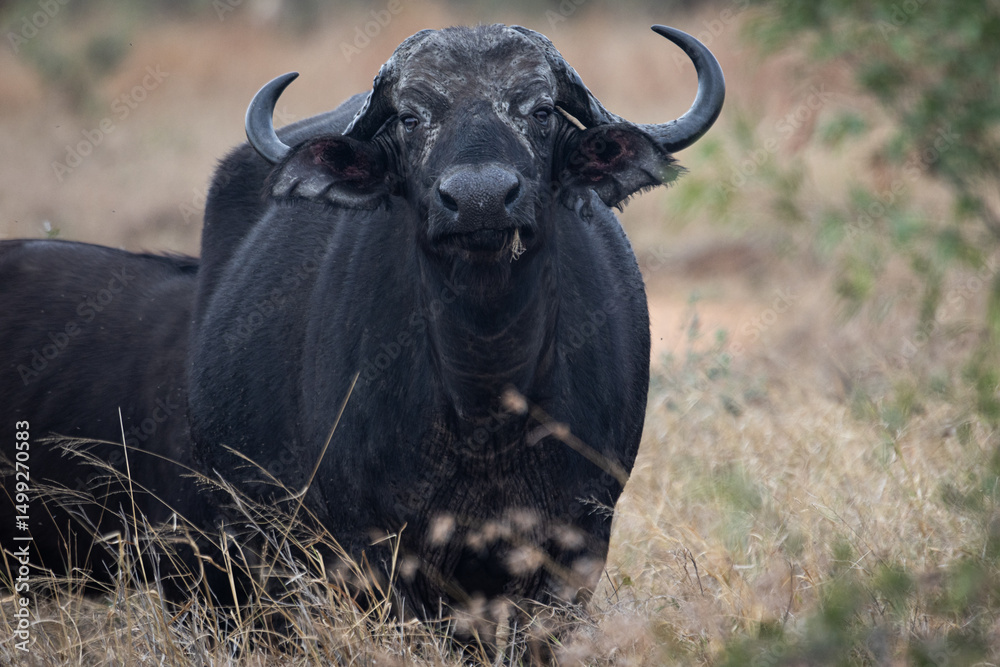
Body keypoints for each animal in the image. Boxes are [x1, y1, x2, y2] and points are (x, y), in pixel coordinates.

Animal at [0, 22, 723, 632]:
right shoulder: (376, 553)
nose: (481, 199)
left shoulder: (575, 547)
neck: (484, 395)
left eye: (541, 110)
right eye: (410, 116)